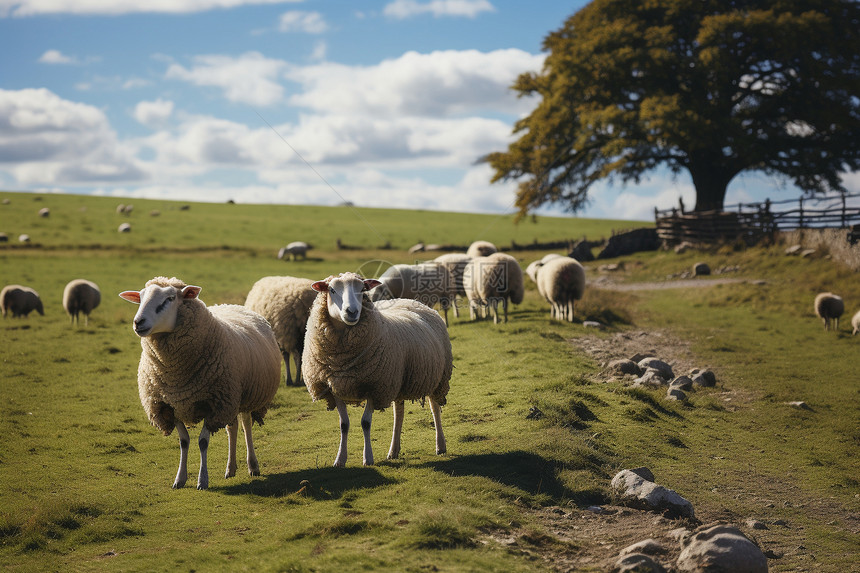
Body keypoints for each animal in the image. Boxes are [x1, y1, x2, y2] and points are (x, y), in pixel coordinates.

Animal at [119, 276, 280, 488]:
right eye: (140, 298)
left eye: (170, 298)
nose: (138, 322)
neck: (176, 377)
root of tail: (230, 305)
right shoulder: (170, 405)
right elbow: (184, 442)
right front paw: (180, 479)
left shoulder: (213, 404)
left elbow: (203, 442)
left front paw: (202, 480)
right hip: (231, 398)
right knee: (232, 428)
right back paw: (230, 469)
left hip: (244, 395)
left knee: (246, 425)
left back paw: (252, 466)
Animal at [302, 272, 454, 464]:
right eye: (332, 290)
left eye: (362, 290)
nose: (352, 312)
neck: (342, 358)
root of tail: (410, 300)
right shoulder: (334, 387)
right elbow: (344, 424)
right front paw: (340, 460)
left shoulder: (375, 386)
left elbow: (365, 423)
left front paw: (368, 459)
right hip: (399, 379)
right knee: (399, 413)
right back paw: (393, 451)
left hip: (438, 377)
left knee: (435, 408)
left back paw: (440, 446)